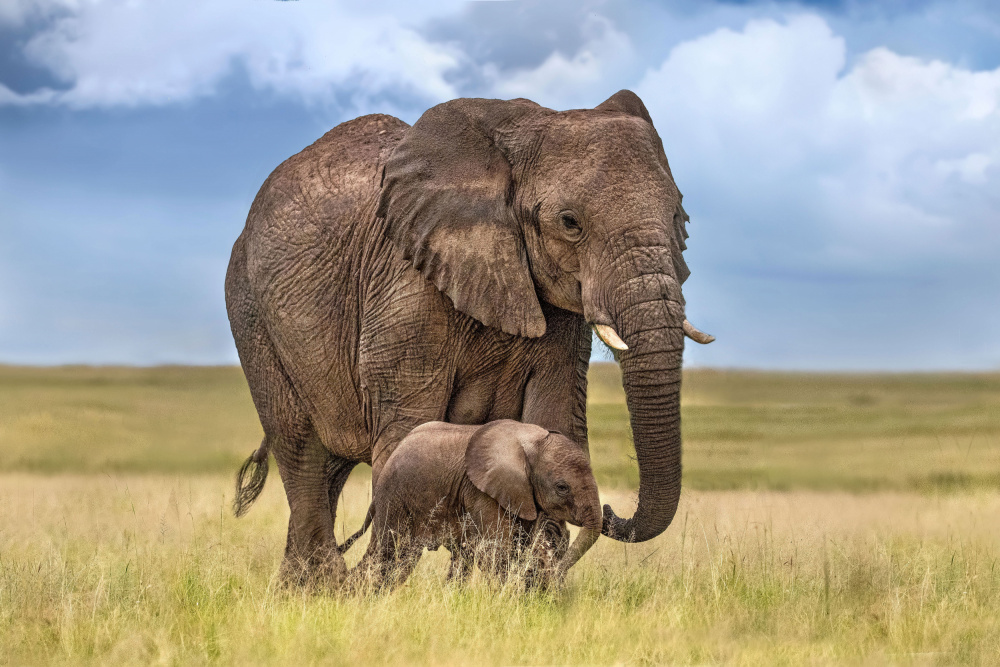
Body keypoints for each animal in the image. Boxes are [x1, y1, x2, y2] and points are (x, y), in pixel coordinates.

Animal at [352, 420, 600, 592]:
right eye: (562, 487)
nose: (555, 578)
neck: (530, 441)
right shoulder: (481, 491)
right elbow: (496, 551)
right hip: (395, 496)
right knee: (389, 553)